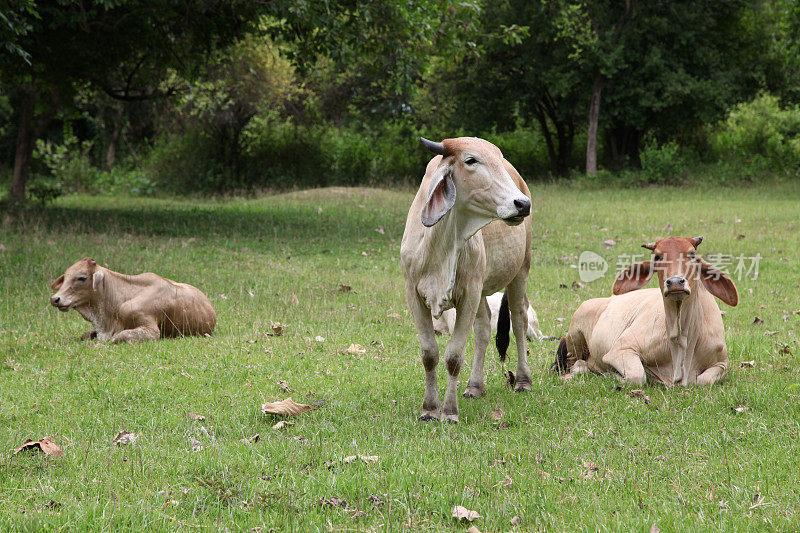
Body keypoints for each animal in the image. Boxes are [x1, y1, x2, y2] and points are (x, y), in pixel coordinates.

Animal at [51, 256, 217, 340]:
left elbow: (119, 337)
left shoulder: (150, 330)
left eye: (82, 278)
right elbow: (85, 334)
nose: (55, 299)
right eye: (65, 277)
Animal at [400, 137, 536, 424]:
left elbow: (453, 356)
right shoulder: (414, 295)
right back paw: (475, 386)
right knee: (484, 327)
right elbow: (429, 354)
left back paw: (522, 380)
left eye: (499, 159)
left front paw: (449, 412)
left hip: (520, 271)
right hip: (483, 289)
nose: (522, 204)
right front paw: (429, 408)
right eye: (471, 160)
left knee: (519, 320)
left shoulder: (469, 294)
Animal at [556, 236, 736, 382]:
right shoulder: (621, 349)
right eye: (657, 256)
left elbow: (702, 381)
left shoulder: (722, 363)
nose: (675, 282)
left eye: (691, 254)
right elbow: (637, 376)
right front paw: (610, 374)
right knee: (575, 363)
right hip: (574, 334)